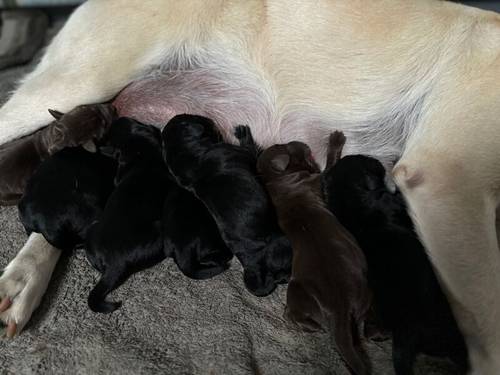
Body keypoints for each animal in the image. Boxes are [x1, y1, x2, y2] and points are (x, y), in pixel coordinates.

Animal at [162, 114, 292, 296]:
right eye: (193, 118)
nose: (207, 118)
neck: (191, 157)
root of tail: (256, 263)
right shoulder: (243, 153)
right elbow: (250, 147)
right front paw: (243, 131)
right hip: (284, 245)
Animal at [258, 142, 372, 375]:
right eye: (288, 148)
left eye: (280, 145)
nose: (302, 143)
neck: (277, 180)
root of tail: (339, 306)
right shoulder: (318, 178)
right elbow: (330, 164)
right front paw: (336, 139)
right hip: (297, 290)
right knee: (292, 315)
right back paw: (312, 326)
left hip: (364, 295)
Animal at [322, 132, 466, 375]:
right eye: (368, 163)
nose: (376, 159)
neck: (350, 199)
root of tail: (406, 332)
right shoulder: (392, 202)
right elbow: (400, 197)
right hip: (445, 330)